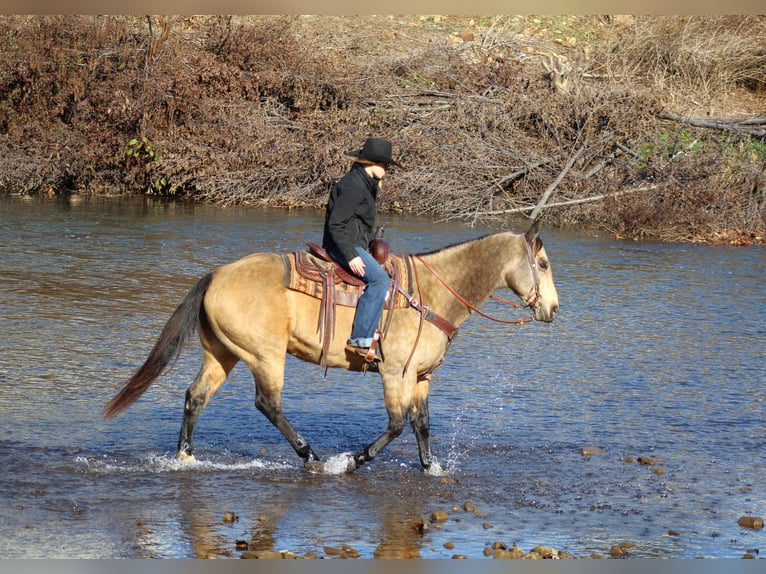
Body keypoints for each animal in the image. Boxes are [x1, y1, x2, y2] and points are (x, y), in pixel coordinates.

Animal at [103, 219, 560, 472]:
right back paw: (312, 457)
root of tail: (215, 275)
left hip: (223, 353)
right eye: (541, 263)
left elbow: (422, 425)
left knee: (195, 397)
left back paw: (186, 457)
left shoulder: (420, 377)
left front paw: (431, 469)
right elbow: (397, 425)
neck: (430, 294)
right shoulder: (394, 374)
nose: (553, 309)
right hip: (265, 356)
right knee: (267, 404)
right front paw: (352, 461)